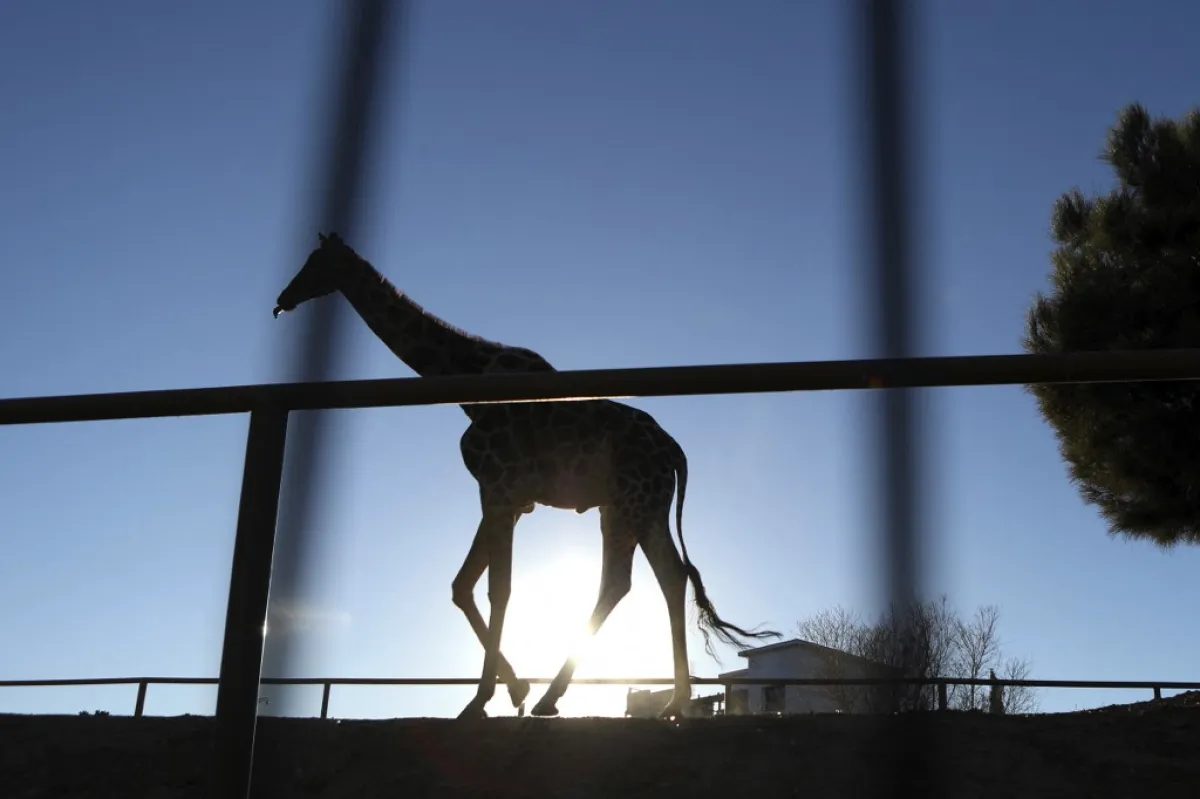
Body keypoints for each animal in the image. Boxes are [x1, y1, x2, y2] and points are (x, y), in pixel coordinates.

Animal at [273, 232, 782, 719]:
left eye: (316, 262)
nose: (283, 298)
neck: (468, 382)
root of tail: (675, 450)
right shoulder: (513, 500)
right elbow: (463, 585)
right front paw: (512, 687)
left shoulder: (497, 488)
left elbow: (498, 588)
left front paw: (482, 699)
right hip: (633, 508)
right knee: (661, 578)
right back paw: (663, 702)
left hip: (633, 503)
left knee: (634, 580)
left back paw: (566, 697)